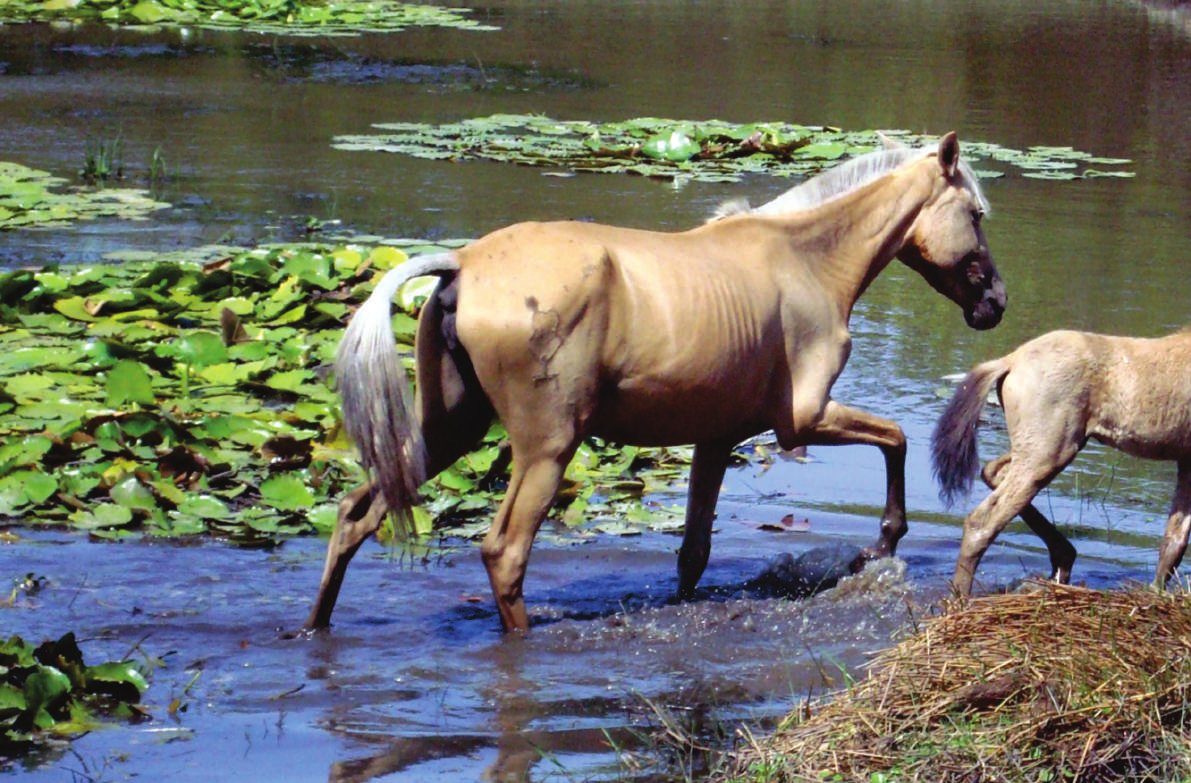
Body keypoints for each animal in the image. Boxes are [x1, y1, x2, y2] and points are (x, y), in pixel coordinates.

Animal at [304, 131, 1005, 634]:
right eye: (975, 213)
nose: (995, 303)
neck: (807, 260)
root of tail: (463, 265)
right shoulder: (803, 421)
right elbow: (897, 439)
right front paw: (883, 541)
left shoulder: (718, 440)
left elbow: (693, 550)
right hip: (545, 450)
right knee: (504, 553)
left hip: (449, 431)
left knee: (355, 513)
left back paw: (314, 626)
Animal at [928, 328, 1191, 593]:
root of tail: (1010, 361)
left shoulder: (1185, 459)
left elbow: (1174, 540)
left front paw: (1157, 592)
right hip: (1050, 451)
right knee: (982, 520)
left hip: (1041, 447)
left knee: (992, 471)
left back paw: (1061, 561)